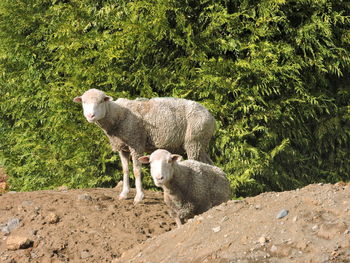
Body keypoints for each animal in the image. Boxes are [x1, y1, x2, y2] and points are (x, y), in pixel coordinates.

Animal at [73, 88, 216, 204]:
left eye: (101, 101)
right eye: (83, 102)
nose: (90, 116)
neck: (117, 116)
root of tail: (211, 116)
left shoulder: (136, 143)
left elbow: (136, 171)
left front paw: (139, 197)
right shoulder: (123, 148)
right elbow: (125, 170)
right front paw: (124, 194)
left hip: (194, 140)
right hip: (201, 143)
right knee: (208, 163)